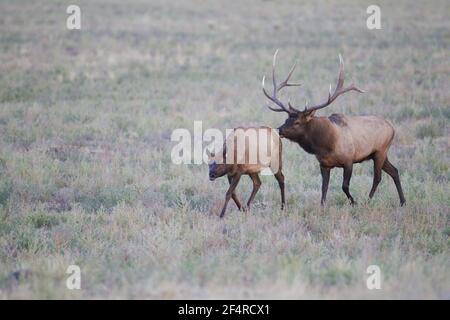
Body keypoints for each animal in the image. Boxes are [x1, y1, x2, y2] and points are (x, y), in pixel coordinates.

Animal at [262, 50, 406, 205]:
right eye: (286, 119)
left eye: (297, 122)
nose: (279, 130)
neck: (325, 145)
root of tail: (392, 128)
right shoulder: (324, 164)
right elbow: (324, 189)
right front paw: (323, 206)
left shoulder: (349, 160)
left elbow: (344, 186)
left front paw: (354, 202)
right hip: (378, 154)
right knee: (395, 171)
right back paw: (403, 201)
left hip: (381, 150)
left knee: (377, 177)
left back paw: (368, 200)